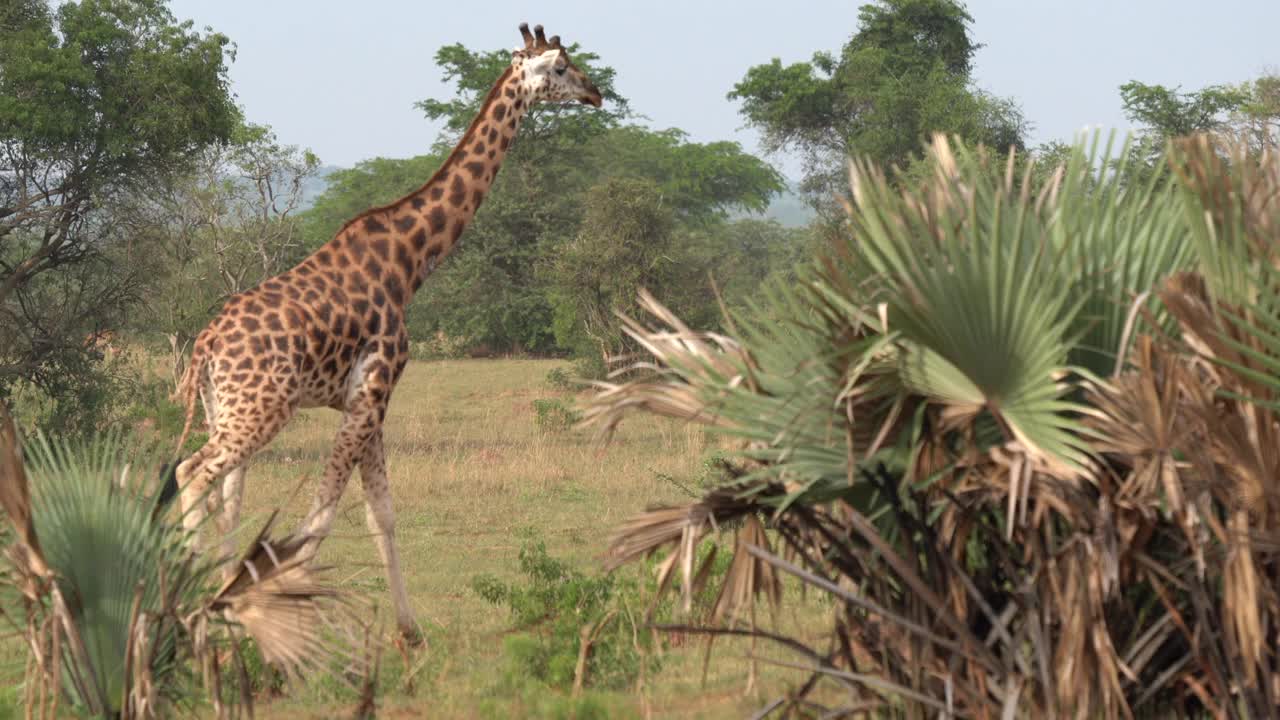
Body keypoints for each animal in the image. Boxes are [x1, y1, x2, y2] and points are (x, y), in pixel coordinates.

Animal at [171, 23, 604, 638]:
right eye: (563, 67)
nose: (597, 93)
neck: (410, 259)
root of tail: (205, 347)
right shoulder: (374, 391)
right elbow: (319, 522)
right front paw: (312, 633)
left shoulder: (367, 401)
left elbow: (383, 515)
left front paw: (410, 631)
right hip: (262, 410)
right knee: (191, 474)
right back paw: (191, 614)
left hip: (224, 409)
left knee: (225, 499)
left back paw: (214, 609)